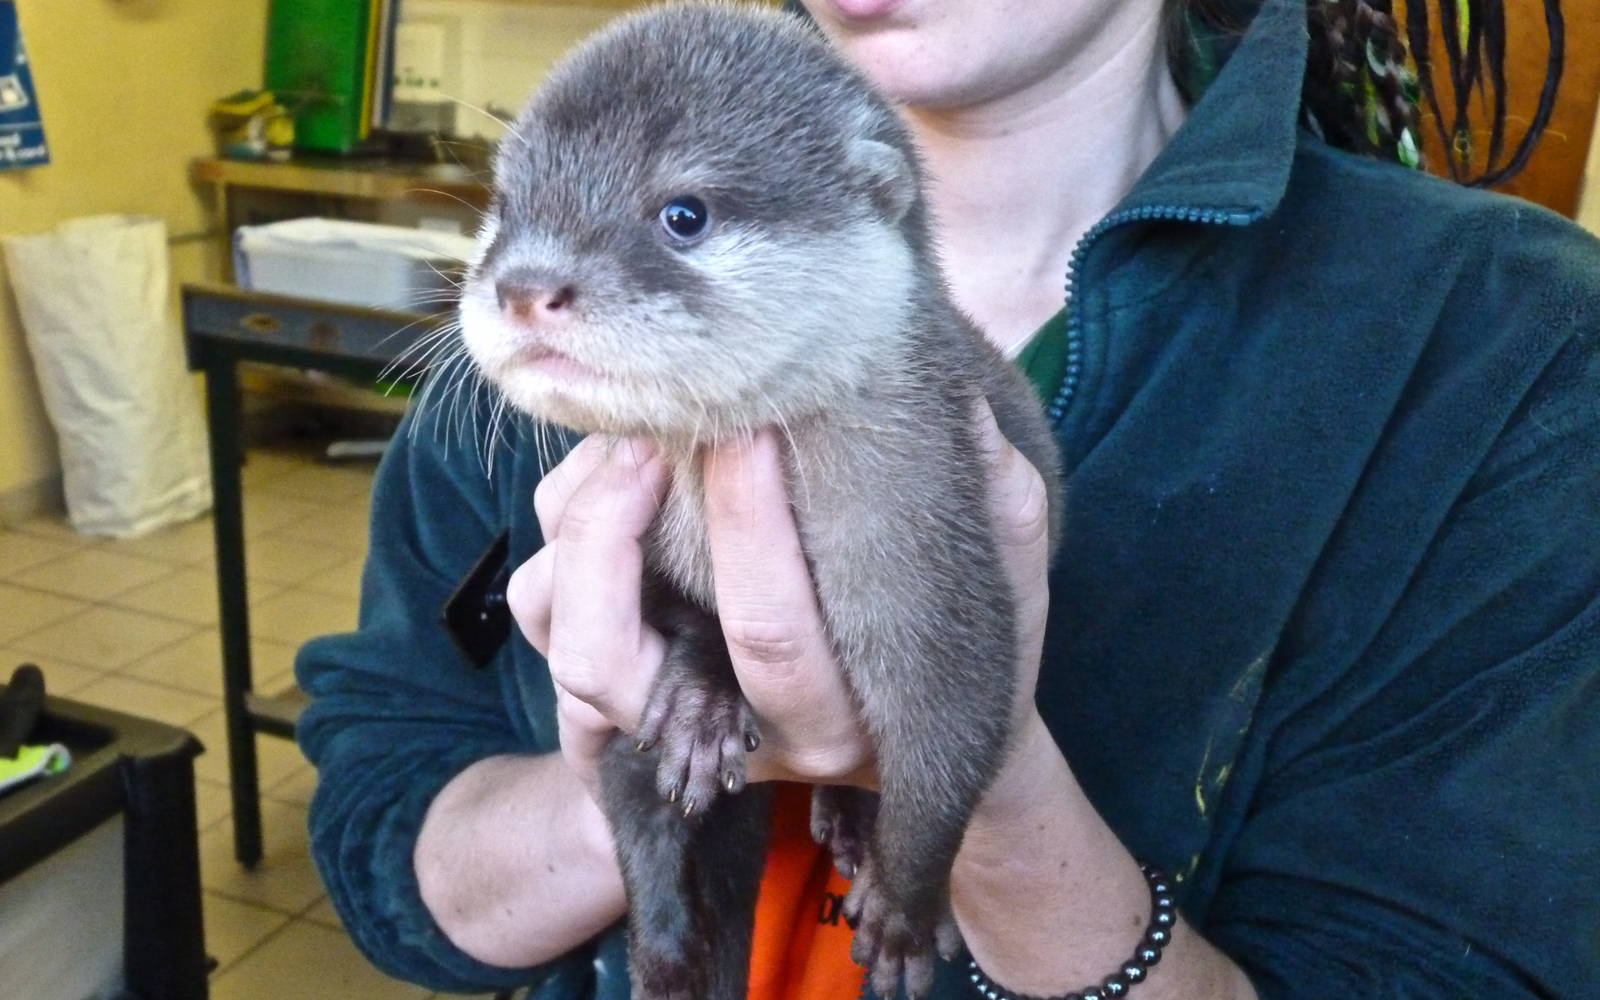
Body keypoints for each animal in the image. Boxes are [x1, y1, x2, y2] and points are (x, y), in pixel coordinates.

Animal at [457, 3, 1065, 998]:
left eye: (684, 214)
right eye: (505, 208)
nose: (523, 286)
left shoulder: (929, 546)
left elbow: (955, 730)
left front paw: (906, 907)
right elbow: (680, 623)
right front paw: (705, 702)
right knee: (631, 805)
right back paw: (666, 946)